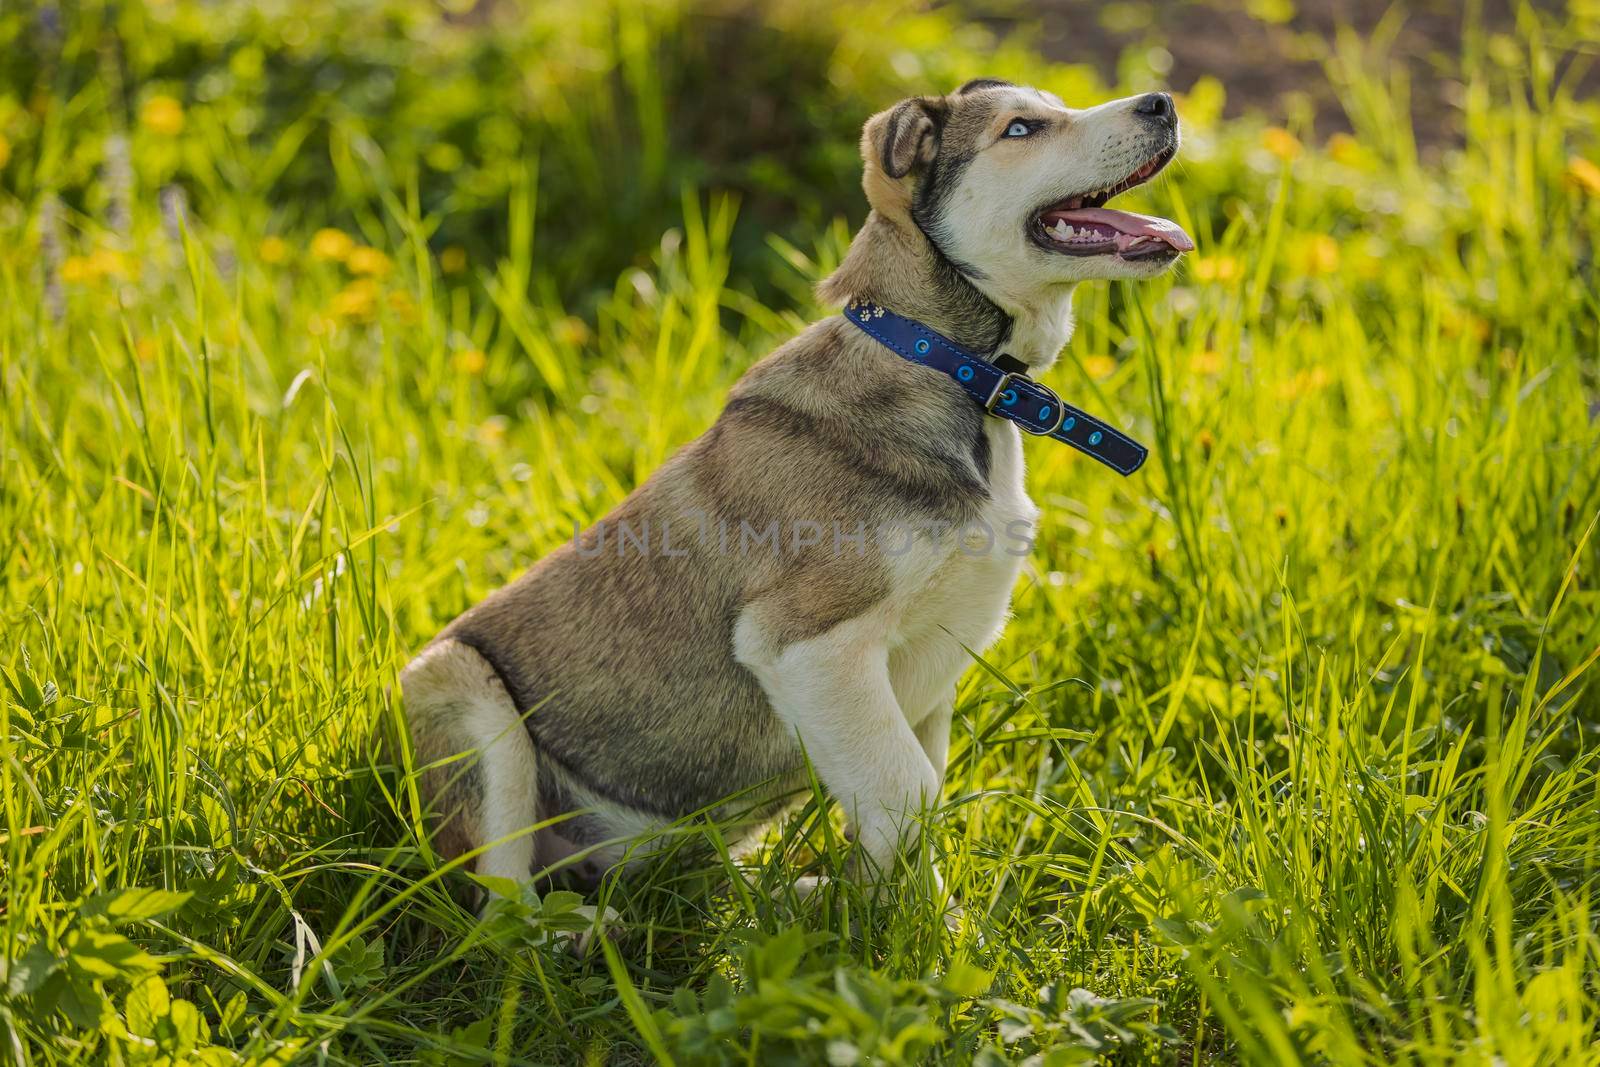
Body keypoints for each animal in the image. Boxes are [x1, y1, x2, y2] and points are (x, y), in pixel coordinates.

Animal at [406, 79, 1196, 902]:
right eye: (1020, 129)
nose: (1163, 103)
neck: (953, 372)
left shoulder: (927, 664)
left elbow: (905, 805)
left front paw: (897, 917)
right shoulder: (805, 643)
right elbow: (909, 789)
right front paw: (901, 923)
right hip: (461, 692)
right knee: (499, 906)